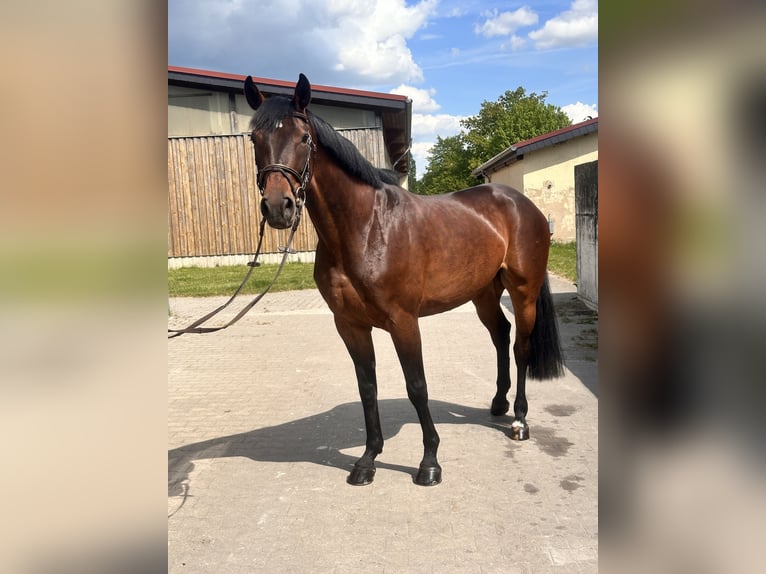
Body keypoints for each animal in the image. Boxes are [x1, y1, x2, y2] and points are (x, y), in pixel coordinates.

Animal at [244, 73, 564, 486]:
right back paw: (497, 403)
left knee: (520, 347)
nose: (277, 207)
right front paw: (367, 460)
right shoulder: (349, 325)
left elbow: (417, 387)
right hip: (483, 294)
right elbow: (367, 388)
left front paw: (429, 463)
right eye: (255, 138)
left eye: (303, 139)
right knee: (500, 335)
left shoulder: (404, 321)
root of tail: (523, 205)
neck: (365, 228)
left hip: (523, 291)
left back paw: (520, 421)